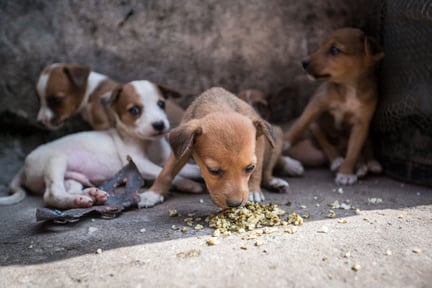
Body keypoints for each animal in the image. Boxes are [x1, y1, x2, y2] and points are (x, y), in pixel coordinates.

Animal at [0, 80, 202, 208]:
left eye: (161, 104)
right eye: (134, 110)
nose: (159, 125)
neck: (148, 143)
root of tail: (23, 168)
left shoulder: (163, 158)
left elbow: (182, 169)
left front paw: (191, 180)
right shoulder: (140, 164)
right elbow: (164, 171)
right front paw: (188, 181)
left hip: (72, 178)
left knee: (67, 188)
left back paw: (90, 196)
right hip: (55, 160)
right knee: (51, 194)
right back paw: (78, 201)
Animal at [137, 86, 288, 210]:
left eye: (249, 168)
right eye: (213, 171)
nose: (235, 204)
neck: (217, 105)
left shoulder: (260, 141)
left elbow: (258, 170)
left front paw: (253, 191)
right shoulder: (182, 149)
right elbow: (165, 173)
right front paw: (152, 194)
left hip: (277, 135)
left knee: (267, 170)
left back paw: (275, 182)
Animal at [286, 28, 384, 186]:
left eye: (334, 50)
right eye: (319, 46)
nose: (303, 62)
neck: (349, 87)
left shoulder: (361, 123)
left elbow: (354, 150)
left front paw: (346, 173)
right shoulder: (316, 105)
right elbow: (300, 124)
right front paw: (284, 141)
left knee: (364, 146)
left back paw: (368, 163)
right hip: (315, 125)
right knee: (324, 141)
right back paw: (337, 160)